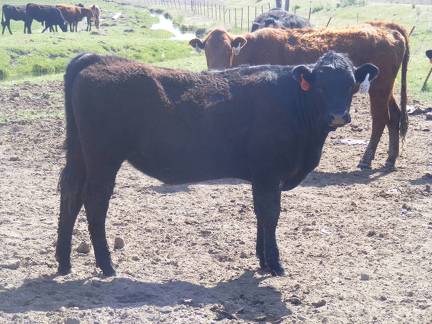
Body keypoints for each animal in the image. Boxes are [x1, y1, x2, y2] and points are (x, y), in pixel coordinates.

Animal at [192, 22, 408, 170]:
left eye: (229, 49)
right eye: (206, 50)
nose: (216, 70)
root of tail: (389, 30)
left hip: (379, 88)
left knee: (380, 119)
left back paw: (366, 159)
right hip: (385, 88)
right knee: (394, 116)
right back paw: (390, 158)